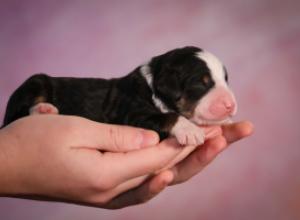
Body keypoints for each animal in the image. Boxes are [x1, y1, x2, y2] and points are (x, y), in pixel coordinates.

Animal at [2, 46, 237, 146]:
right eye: (201, 83)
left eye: (226, 79)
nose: (231, 106)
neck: (152, 87)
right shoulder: (131, 114)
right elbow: (169, 116)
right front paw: (190, 130)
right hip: (35, 82)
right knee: (17, 116)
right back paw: (44, 110)